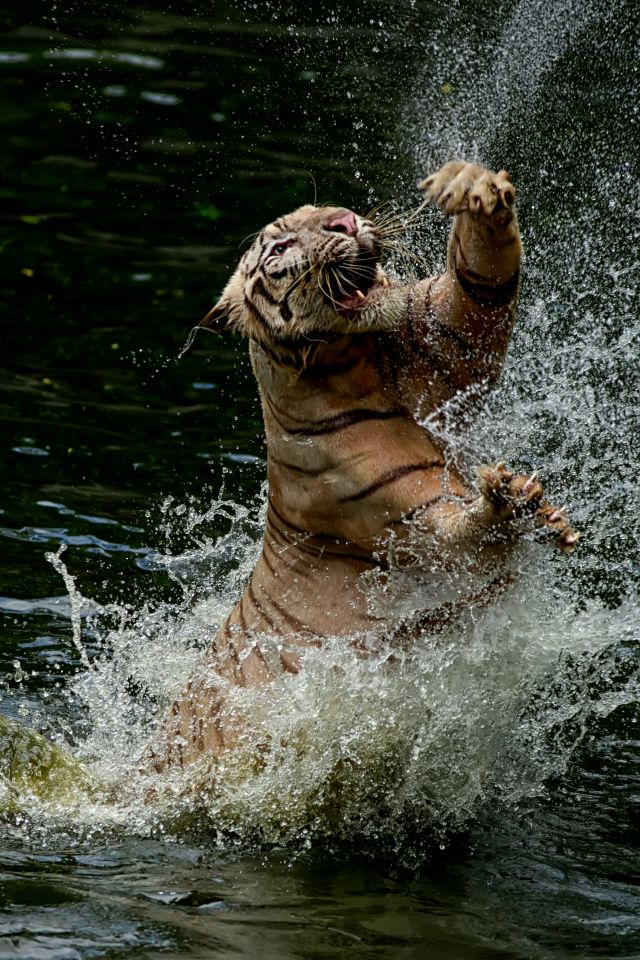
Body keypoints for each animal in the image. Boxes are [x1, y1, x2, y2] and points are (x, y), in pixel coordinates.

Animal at [144, 161, 576, 776]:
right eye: (280, 246)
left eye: (322, 209)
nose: (344, 221)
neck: (357, 360)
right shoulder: (410, 529)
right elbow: (466, 538)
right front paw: (509, 501)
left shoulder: (450, 332)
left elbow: (480, 283)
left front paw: (472, 188)